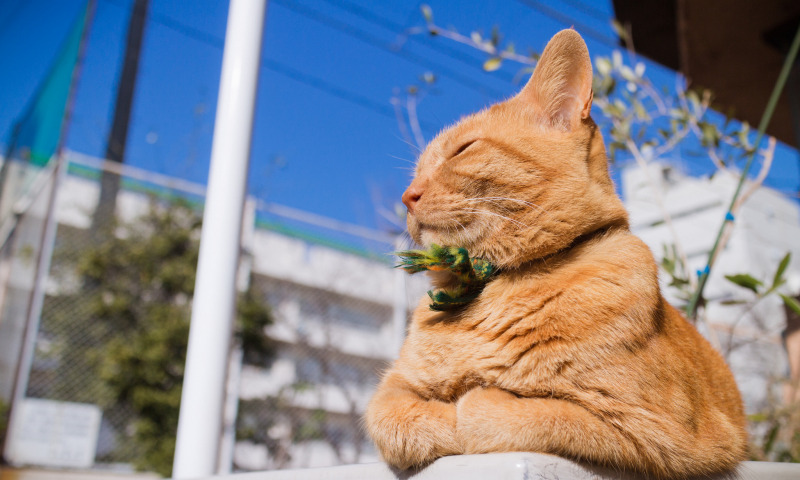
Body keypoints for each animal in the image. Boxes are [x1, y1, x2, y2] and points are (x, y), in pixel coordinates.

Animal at [366, 29, 748, 476]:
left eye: (463, 149)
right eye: (416, 172)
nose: (407, 197)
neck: (491, 287)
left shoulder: (654, 432)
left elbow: (501, 410)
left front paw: (468, 401)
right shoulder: (392, 390)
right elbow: (396, 420)